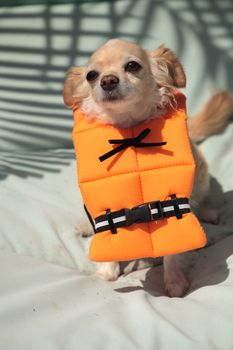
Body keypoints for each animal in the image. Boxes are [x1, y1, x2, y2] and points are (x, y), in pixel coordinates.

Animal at [63, 38, 233, 296]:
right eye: (92, 75)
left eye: (132, 66)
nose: (108, 80)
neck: (128, 129)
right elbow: (107, 230)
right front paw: (107, 271)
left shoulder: (175, 202)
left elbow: (173, 248)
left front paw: (174, 282)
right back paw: (86, 225)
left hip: (202, 176)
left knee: (200, 201)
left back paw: (208, 213)